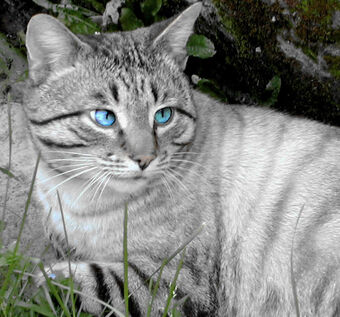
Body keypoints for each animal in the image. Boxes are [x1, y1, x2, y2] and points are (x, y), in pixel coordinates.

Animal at [21, 2, 340, 316]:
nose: (145, 159)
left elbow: (58, 281)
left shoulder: (175, 280)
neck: (77, 197)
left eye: (163, 115)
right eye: (105, 117)